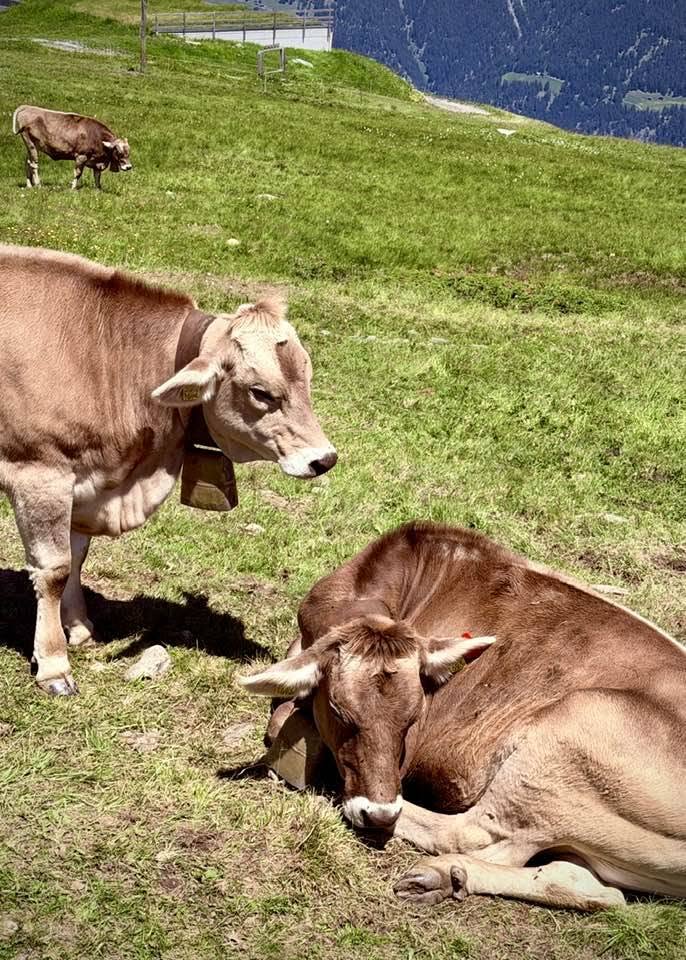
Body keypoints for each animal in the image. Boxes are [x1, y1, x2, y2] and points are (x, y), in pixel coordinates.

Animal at [0, 244, 336, 696]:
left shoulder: (82, 481)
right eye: (261, 392)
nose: (324, 458)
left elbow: (77, 555)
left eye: (308, 379)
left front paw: (79, 627)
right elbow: (54, 569)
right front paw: (54, 664)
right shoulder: (40, 474)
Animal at [241, 522, 686, 911]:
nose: (379, 812)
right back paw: (442, 878)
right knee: (590, 889)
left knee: (470, 834)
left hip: (567, 732)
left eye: (414, 717)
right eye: (340, 712)